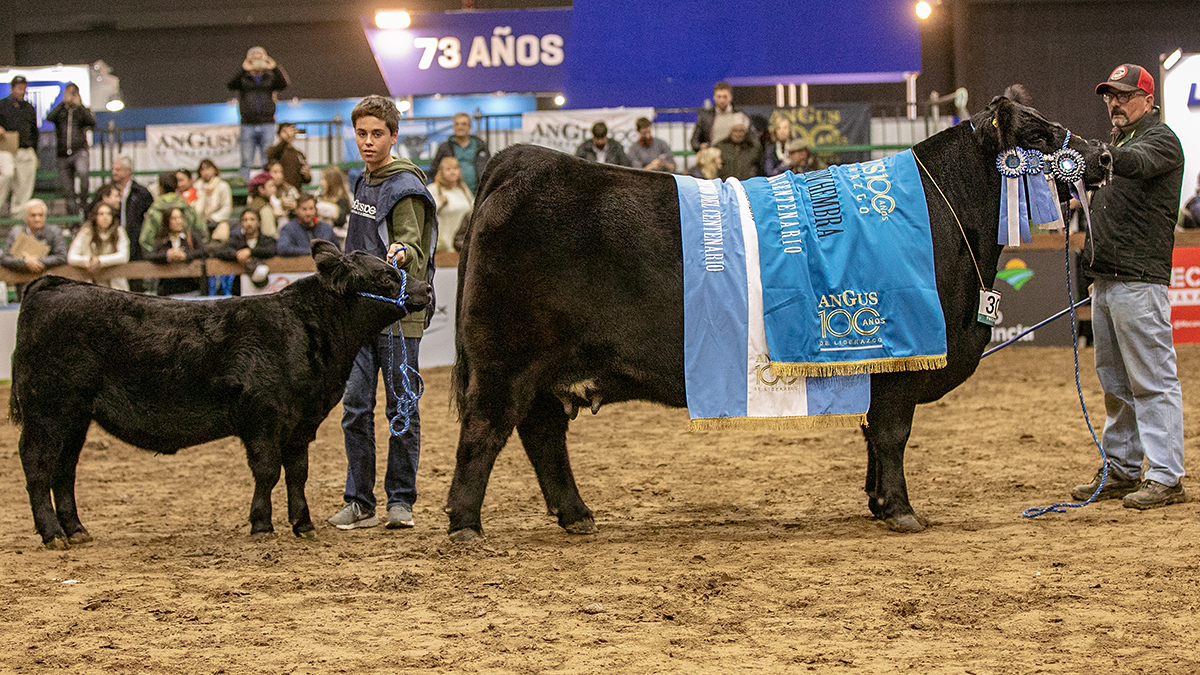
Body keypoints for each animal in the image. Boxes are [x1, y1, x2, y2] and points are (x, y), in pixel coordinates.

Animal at [10, 240, 432, 547]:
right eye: (383, 276)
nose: (426, 288)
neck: (305, 331)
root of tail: (54, 284)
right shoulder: (263, 417)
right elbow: (267, 471)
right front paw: (261, 525)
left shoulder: (300, 423)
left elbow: (298, 472)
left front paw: (303, 524)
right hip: (47, 411)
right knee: (38, 465)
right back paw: (52, 534)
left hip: (76, 417)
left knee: (64, 470)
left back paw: (76, 531)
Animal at [451, 94, 1113, 538]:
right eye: (1041, 134)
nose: (1104, 154)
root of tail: (521, 160)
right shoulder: (899, 361)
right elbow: (892, 434)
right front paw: (901, 511)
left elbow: (873, 435)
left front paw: (877, 503)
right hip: (505, 361)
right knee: (485, 430)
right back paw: (465, 525)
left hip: (546, 372)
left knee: (541, 435)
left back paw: (577, 516)